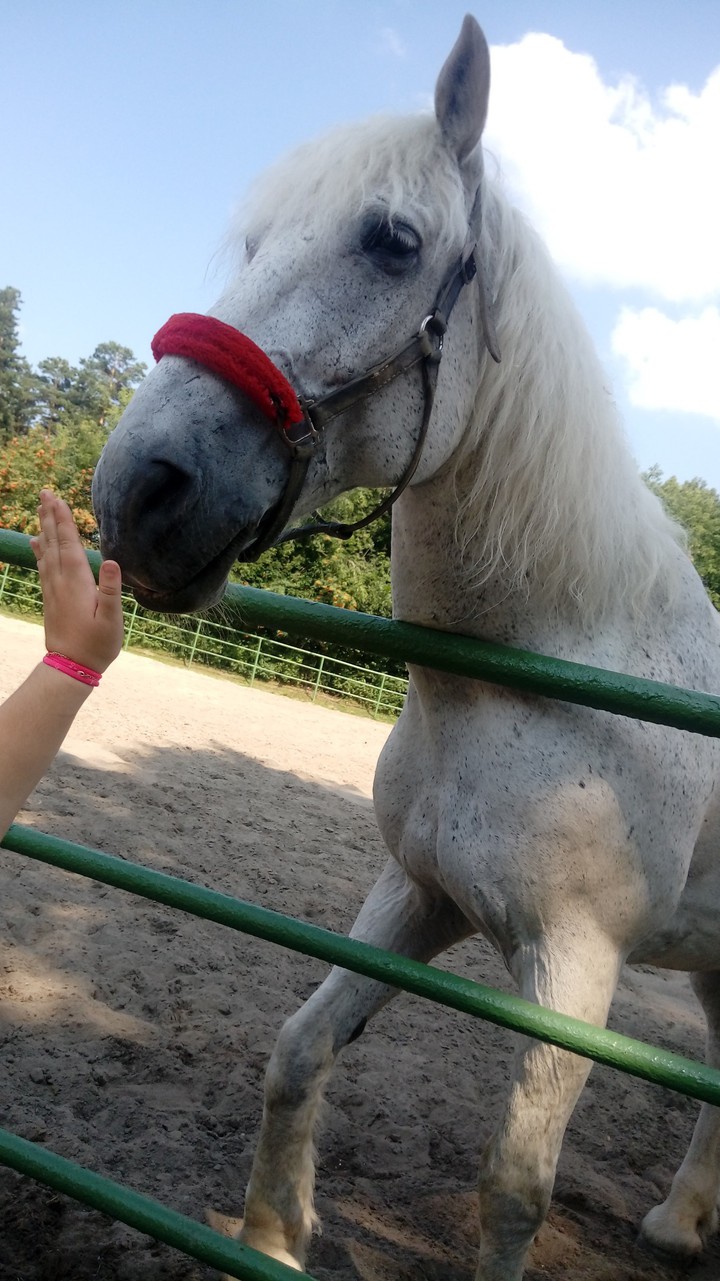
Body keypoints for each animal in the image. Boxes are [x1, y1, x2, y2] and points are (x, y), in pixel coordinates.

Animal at [92, 15, 720, 1280]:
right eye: (253, 240)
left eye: (393, 241)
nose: (139, 490)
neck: (542, 681)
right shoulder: (418, 894)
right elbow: (299, 1048)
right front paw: (274, 1235)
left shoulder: (574, 973)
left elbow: (512, 1191)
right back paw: (681, 1221)